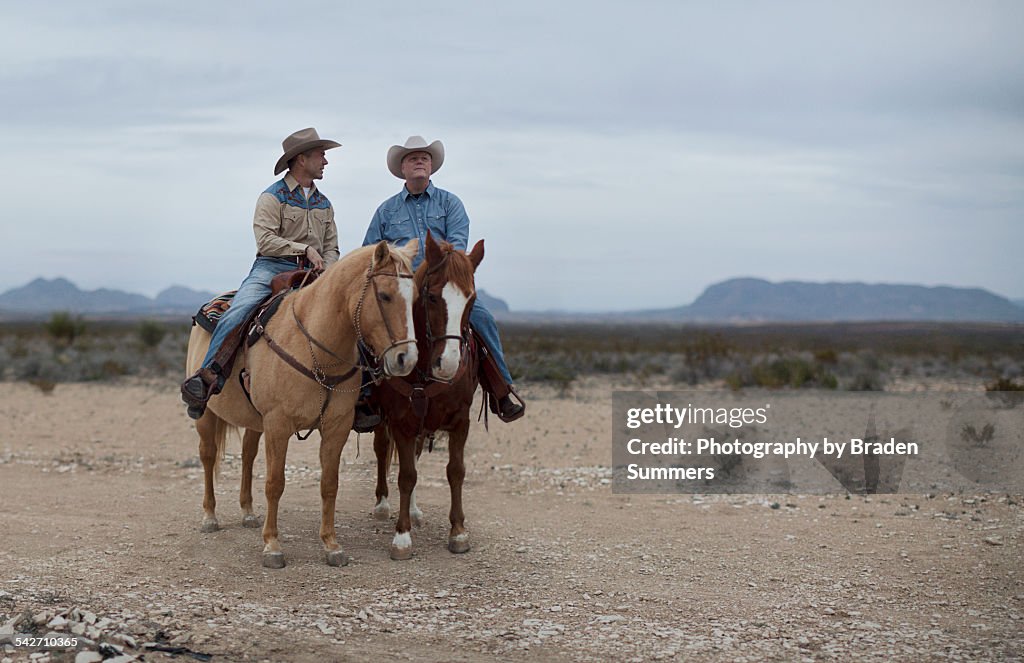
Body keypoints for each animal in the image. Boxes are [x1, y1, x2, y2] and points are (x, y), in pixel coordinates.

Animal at [186, 240, 417, 569]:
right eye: (384, 295)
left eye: (416, 297)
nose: (405, 360)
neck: (317, 349)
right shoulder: (278, 424)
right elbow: (274, 483)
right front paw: (272, 546)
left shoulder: (335, 427)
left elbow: (329, 484)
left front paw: (331, 545)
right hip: (206, 416)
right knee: (207, 456)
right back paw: (209, 517)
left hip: (255, 422)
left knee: (247, 456)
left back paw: (248, 513)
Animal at [370, 233, 481, 561]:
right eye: (431, 297)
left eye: (472, 299)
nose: (448, 363)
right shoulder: (400, 421)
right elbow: (406, 475)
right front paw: (401, 537)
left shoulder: (460, 420)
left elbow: (455, 471)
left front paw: (458, 532)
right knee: (382, 451)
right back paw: (383, 504)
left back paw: (416, 511)